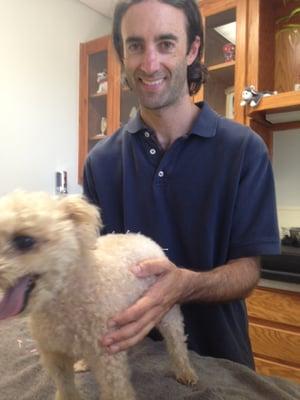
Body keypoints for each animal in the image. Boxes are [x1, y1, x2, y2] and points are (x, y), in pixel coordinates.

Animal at [0, 191, 198, 400]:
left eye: (25, 241)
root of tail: (144, 238)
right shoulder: (55, 354)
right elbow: (65, 386)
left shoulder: (108, 359)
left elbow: (117, 391)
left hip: (168, 313)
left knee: (177, 342)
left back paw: (185, 372)